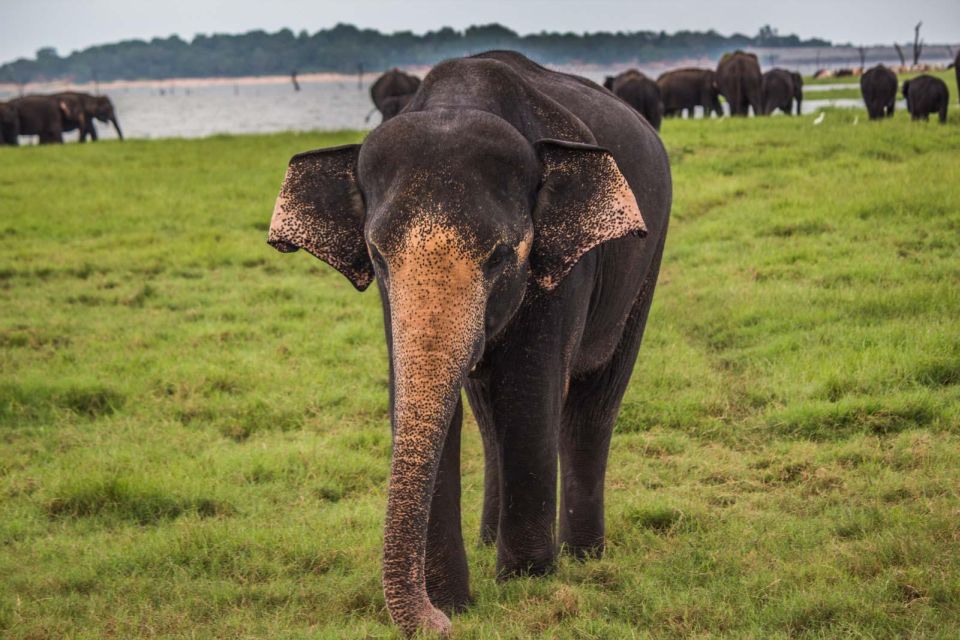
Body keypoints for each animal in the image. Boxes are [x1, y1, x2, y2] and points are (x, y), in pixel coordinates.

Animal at [262, 51, 668, 640]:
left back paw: (583, 556)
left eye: (501, 256)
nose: (438, 624)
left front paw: (525, 586)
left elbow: (528, 393)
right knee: (487, 414)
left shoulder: (562, 271)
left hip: (646, 262)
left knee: (593, 406)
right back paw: (488, 541)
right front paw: (457, 601)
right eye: (377, 255)